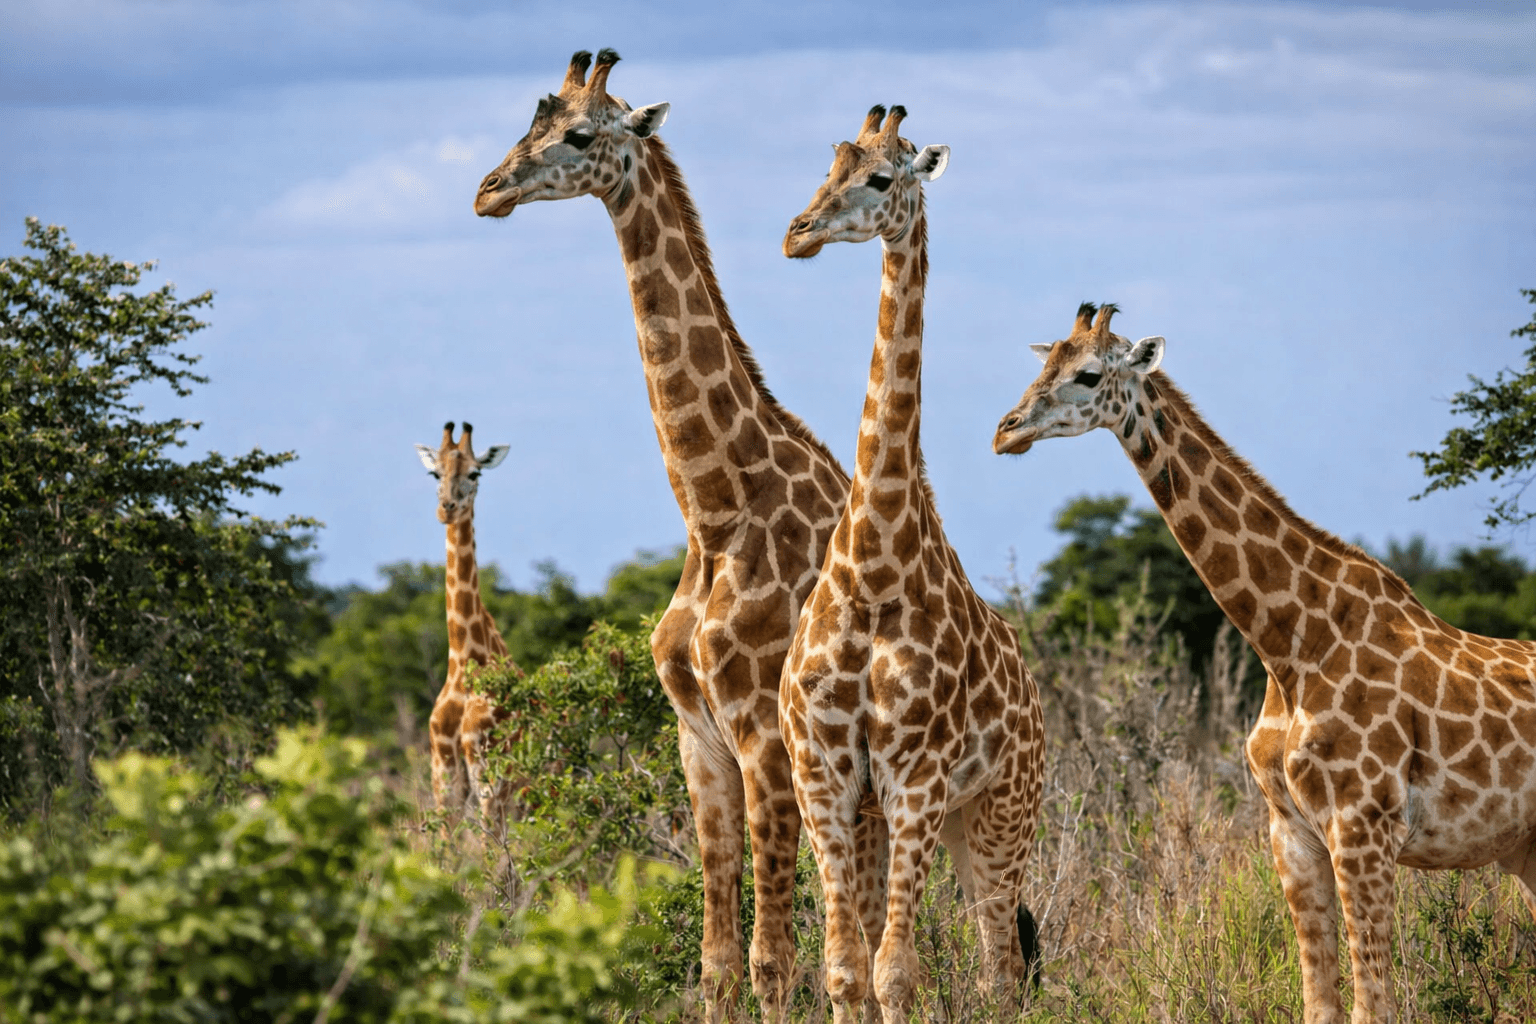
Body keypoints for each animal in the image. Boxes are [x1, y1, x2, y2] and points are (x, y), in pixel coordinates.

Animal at [474, 50, 850, 1019]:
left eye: (578, 133)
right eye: (528, 122)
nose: (488, 192)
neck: (716, 511)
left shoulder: (763, 738)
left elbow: (771, 959)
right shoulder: (698, 741)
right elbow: (718, 961)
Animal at [781, 105, 1046, 1024]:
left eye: (881, 178)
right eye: (827, 167)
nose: (797, 232)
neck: (873, 569)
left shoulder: (917, 780)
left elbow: (898, 971)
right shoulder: (825, 775)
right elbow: (843, 969)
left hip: (1000, 814)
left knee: (1002, 964)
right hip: (910, 820)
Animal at [993, 303, 1536, 1024]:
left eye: (1086, 374)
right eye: (1043, 363)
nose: (1005, 432)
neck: (1288, 647)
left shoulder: (1363, 830)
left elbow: (1372, 1005)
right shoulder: (1292, 834)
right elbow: (1321, 1005)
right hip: (1525, 847)